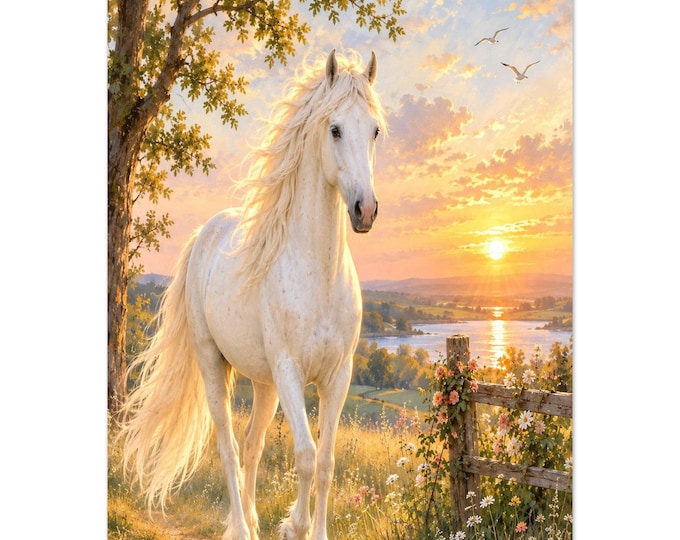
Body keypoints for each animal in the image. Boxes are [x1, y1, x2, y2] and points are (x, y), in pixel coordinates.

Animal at [119, 49, 386, 540]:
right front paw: (294, 525)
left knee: (250, 446)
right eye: (335, 129)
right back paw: (242, 528)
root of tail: (205, 236)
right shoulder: (290, 372)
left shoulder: (338, 376)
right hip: (215, 364)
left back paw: (253, 521)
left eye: (375, 130)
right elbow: (305, 456)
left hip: (263, 384)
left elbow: (326, 462)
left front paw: (308, 528)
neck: (318, 275)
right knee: (227, 446)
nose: (365, 210)